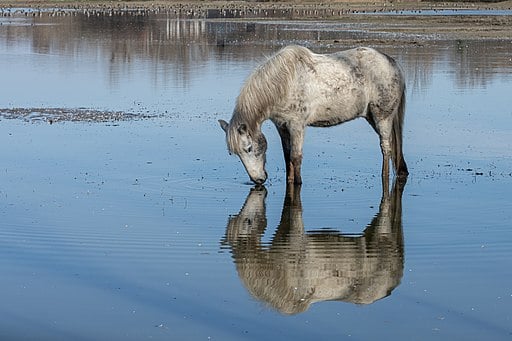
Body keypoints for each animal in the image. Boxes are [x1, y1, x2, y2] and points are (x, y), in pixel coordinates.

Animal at [219, 45, 408, 186]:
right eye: (236, 154)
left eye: (249, 148)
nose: (257, 180)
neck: (284, 83)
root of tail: (392, 63)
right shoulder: (282, 126)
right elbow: (287, 156)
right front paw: (289, 181)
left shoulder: (297, 126)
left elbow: (296, 157)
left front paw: (298, 184)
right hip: (371, 117)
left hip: (382, 118)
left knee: (386, 148)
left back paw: (384, 177)